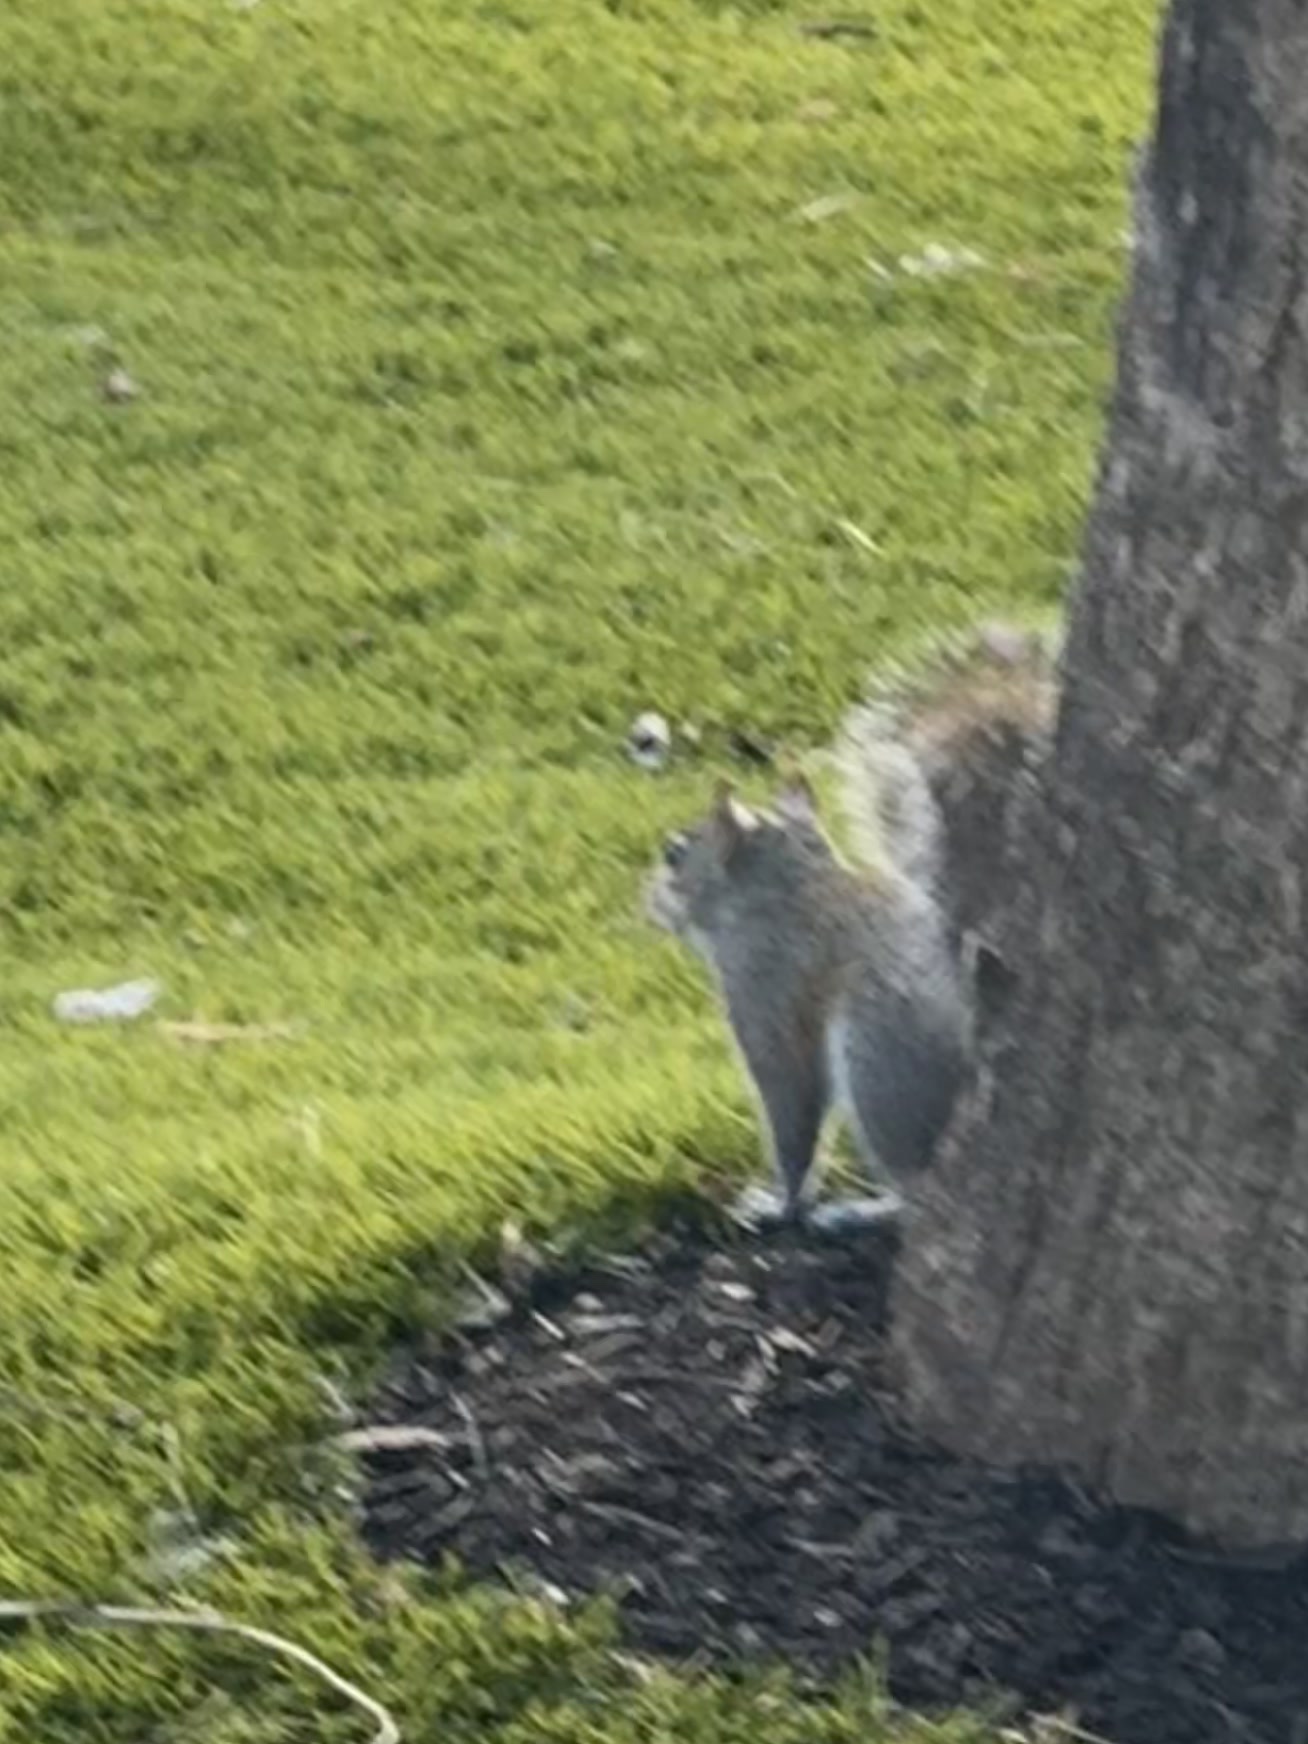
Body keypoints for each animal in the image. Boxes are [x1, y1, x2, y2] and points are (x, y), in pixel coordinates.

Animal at [644, 618, 1057, 1233]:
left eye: (674, 854)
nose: (646, 901)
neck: (790, 889)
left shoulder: (764, 985)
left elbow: (790, 1100)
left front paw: (781, 1202)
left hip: (880, 1061)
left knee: (917, 1184)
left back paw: (864, 1209)